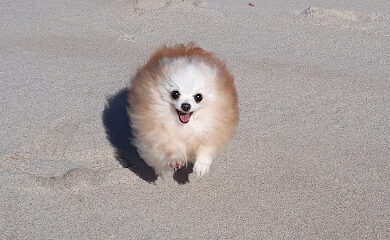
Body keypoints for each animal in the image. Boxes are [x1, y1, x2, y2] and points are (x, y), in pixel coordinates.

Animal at [128, 43, 238, 178]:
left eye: (198, 97)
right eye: (175, 94)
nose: (186, 106)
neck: (185, 126)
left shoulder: (214, 128)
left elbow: (206, 148)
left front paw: (201, 167)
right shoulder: (160, 132)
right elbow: (170, 146)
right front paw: (176, 160)